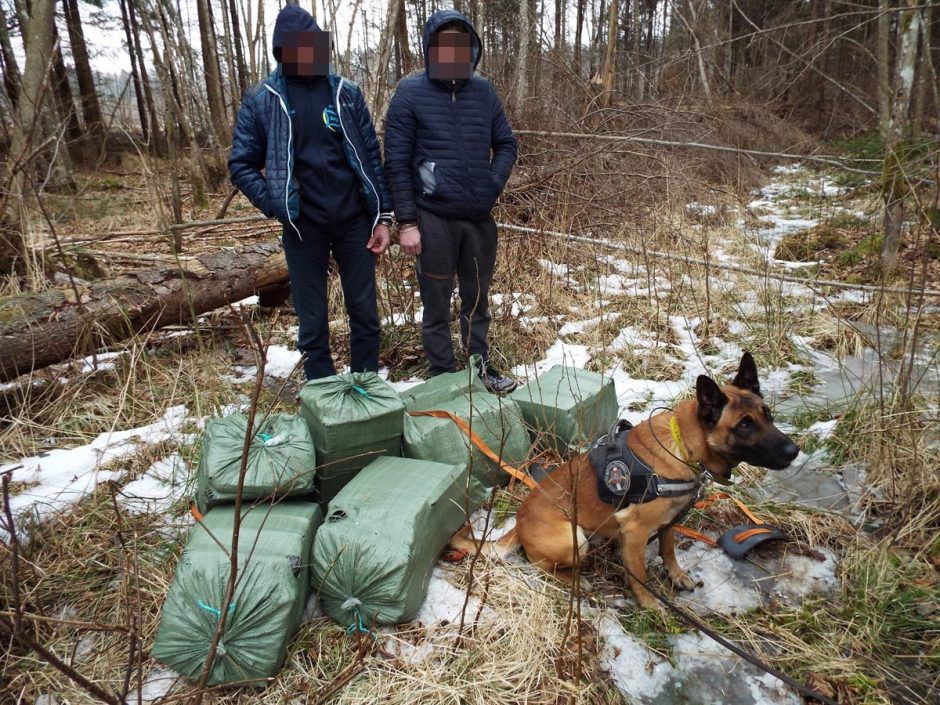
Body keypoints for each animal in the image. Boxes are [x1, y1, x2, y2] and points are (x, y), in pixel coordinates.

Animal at [450, 352, 800, 612]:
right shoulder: (634, 531)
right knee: (540, 566)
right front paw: (649, 603)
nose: (794, 451)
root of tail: (519, 523)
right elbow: (640, 575)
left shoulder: (670, 522)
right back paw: (576, 581)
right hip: (575, 540)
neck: (682, 446)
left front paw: (676, 575)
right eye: (744, 425)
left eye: (767, 414)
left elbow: (668, 550)